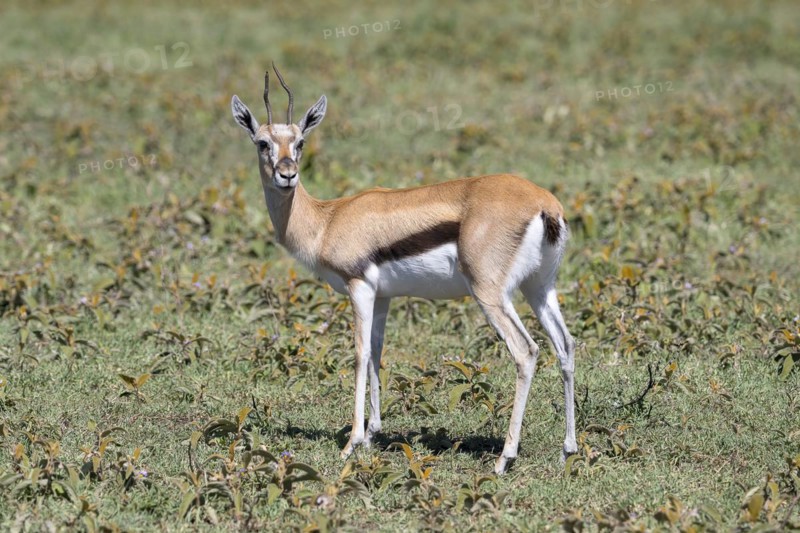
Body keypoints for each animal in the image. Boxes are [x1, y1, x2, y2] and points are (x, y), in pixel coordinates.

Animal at [230, 65, 576, 474]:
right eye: (262, 143)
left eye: (299, 142)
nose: (287, 174)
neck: (327, 220)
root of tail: (544, 204)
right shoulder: (383, 297)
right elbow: (377, 353)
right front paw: (372, 435)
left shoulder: (359, 287)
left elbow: (360, 353)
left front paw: (352, 442)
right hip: (538, 290)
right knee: (565, 345)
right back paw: (569, 449)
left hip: (490, 293)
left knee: (526, 352)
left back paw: (504, 457)